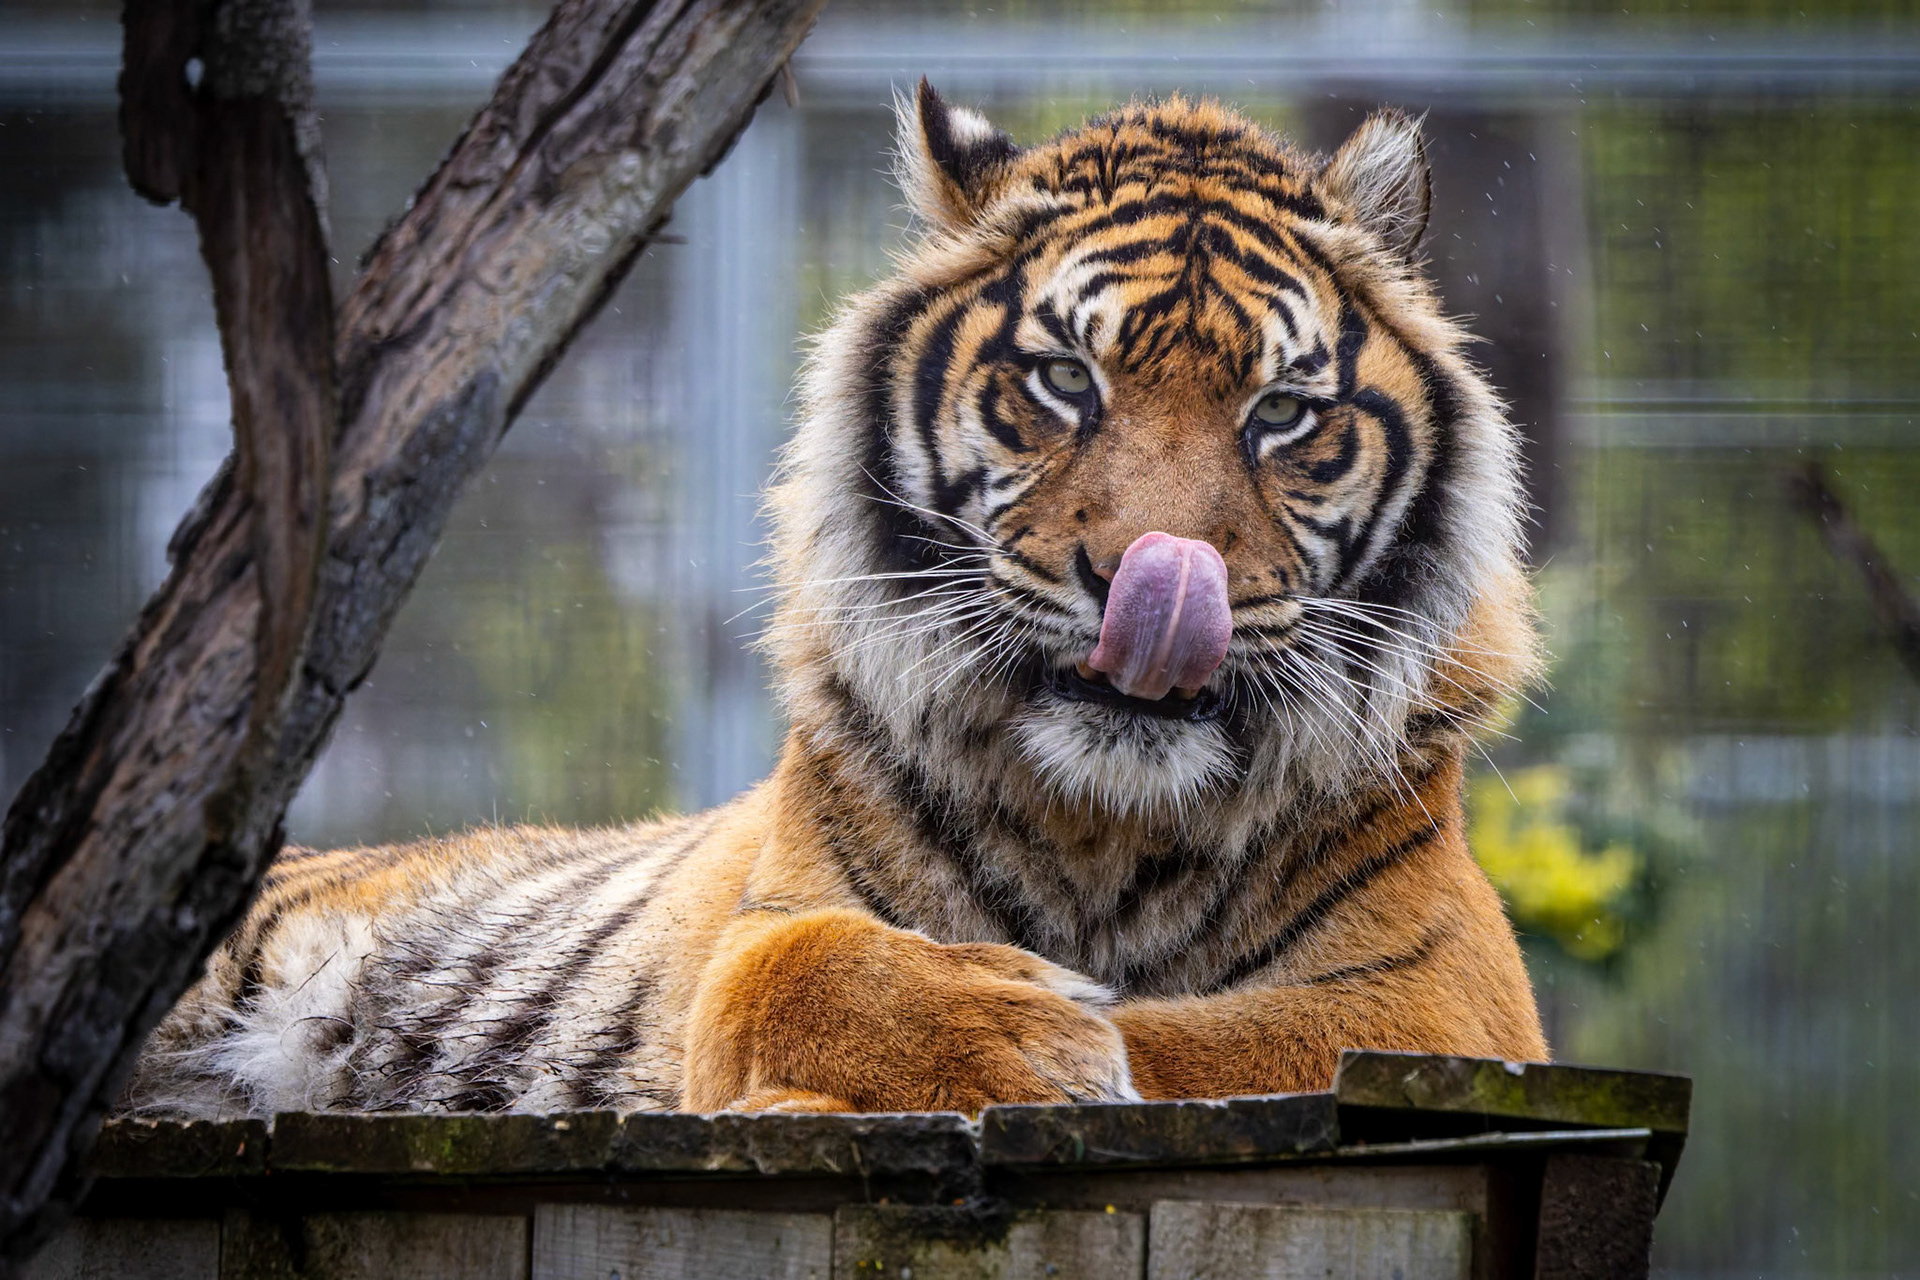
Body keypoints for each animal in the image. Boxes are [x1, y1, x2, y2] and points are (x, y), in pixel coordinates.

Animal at [126, 85, 1548, 1120]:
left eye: (1282, 412)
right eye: (1064, 380)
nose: (1146, 581)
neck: (1105, 826)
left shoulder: (1445, 1004)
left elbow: (1232, 1040)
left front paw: (1080, 1043)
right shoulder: (762, 926)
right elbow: (796, 966)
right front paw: (1028, 1035)